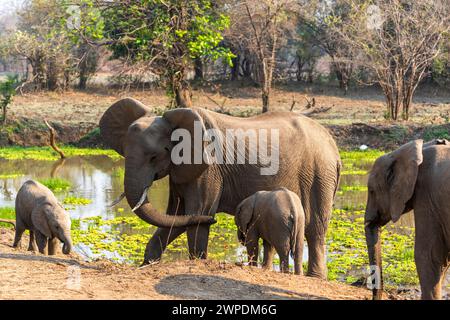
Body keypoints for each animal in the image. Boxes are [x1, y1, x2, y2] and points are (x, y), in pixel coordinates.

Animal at [100, 97, 342, 278]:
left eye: (154, 156)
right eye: (124, 151)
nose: (215, 220)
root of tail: (333, 146)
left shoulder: (209, 168)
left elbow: (196, 212)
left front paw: (198, 260)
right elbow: (178, 215)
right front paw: (147, 263)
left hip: (319, 175)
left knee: (315, 228)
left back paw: (315, 277)